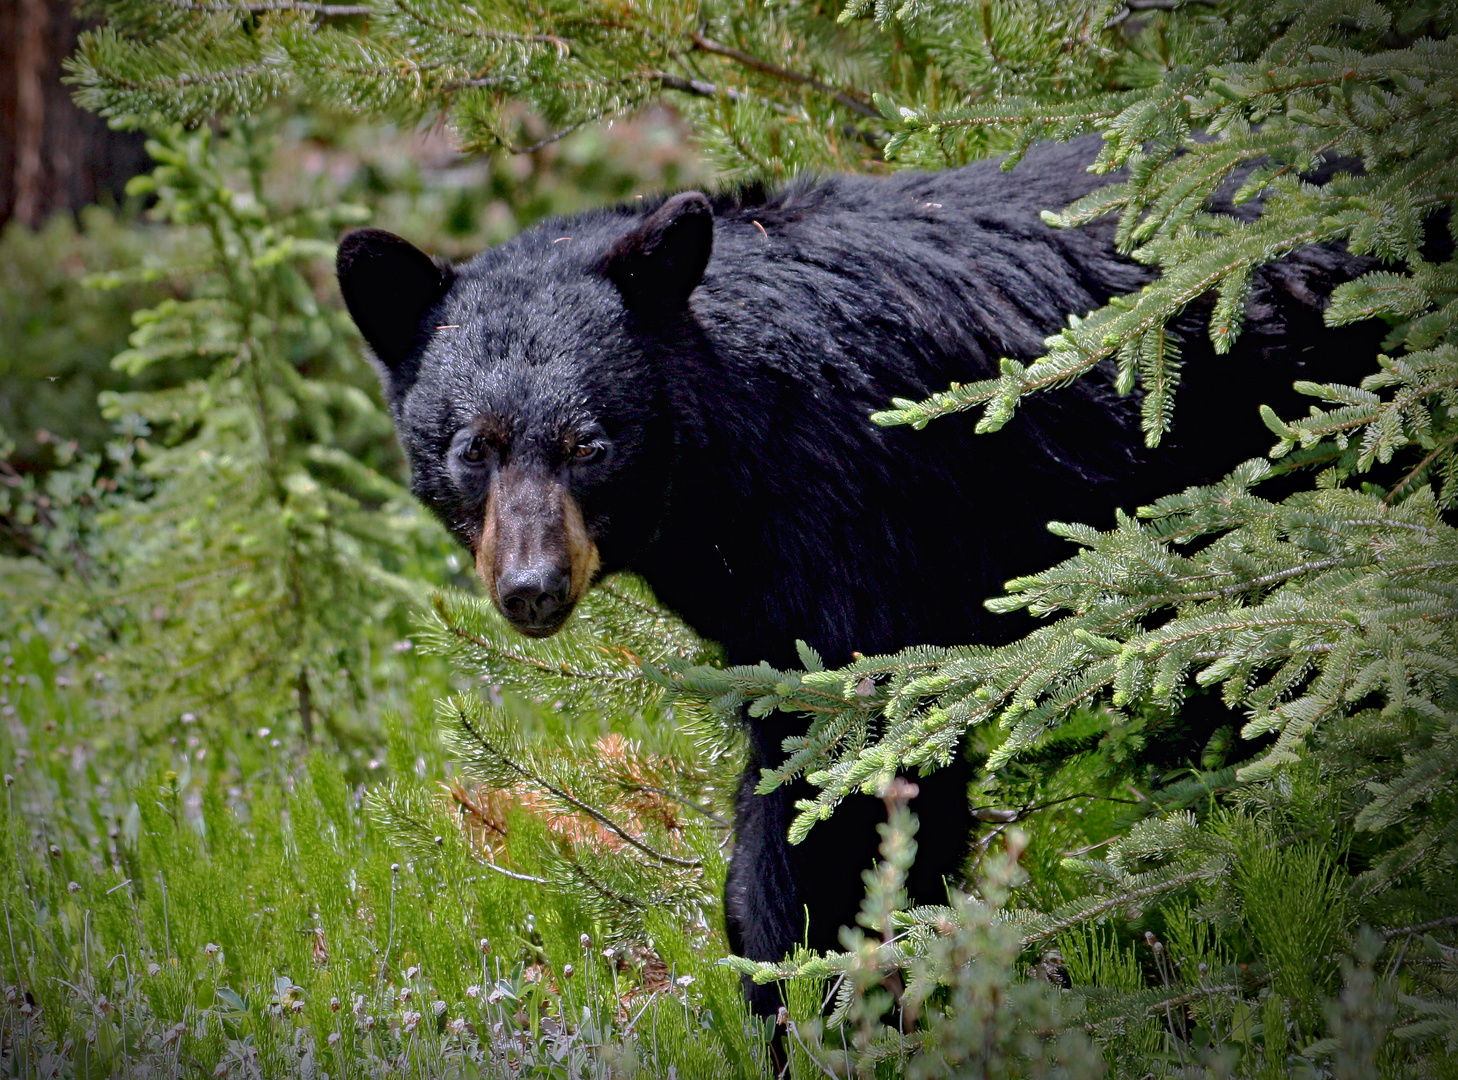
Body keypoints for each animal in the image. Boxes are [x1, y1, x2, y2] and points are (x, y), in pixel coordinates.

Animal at [335, 139, 1370, 1014]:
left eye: (590, 444)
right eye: (474, 448)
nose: (533, 586)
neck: (730, 463)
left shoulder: (852, 524)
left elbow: (844, 772)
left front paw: (817, 1000)